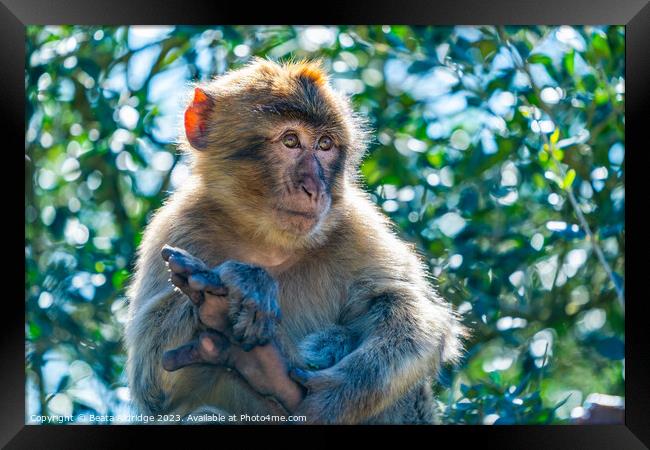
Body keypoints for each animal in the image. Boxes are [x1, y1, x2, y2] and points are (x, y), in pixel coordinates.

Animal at [124, 57, 464, 426]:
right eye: (290, 141)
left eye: (325, 145)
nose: (314, 187)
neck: (269, 242)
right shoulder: (178, 225)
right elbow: (151, 384)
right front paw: (242, 280)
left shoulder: (357, 225)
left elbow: (416, 313)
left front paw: (335, 393)